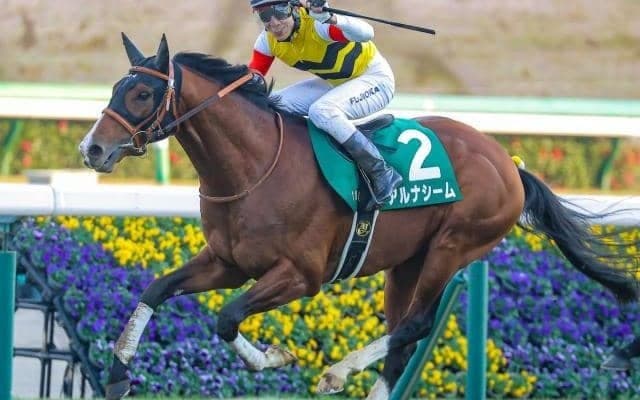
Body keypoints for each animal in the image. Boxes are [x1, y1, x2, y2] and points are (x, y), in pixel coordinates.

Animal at [78, 34, 640, 399]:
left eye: (142, 93)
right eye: (114, 89)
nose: (92, 149)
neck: (254, 166)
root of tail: (510, 164)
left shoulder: (301, 276)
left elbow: (227, 317)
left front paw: (279, 357)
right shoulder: (228, 262)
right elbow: (156, 289)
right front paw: (118, 373)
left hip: (455, 245)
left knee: (416, 325)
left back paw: (338, 371)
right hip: (407, 264)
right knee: (404, 337)